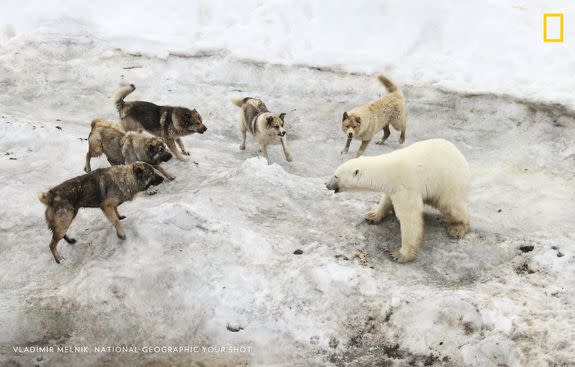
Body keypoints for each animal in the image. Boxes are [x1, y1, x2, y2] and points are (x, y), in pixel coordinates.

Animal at [326, 137, 470, 262]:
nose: (327, 185)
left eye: (336, 176)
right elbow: (386, 200)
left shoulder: (406, 186)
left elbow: (410, 218)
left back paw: (457, 228)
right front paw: (372, 216)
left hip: (448, 181)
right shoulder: (393, 188)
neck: (387, 171)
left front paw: (400, 254)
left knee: (451, 205)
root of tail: (460, 155)